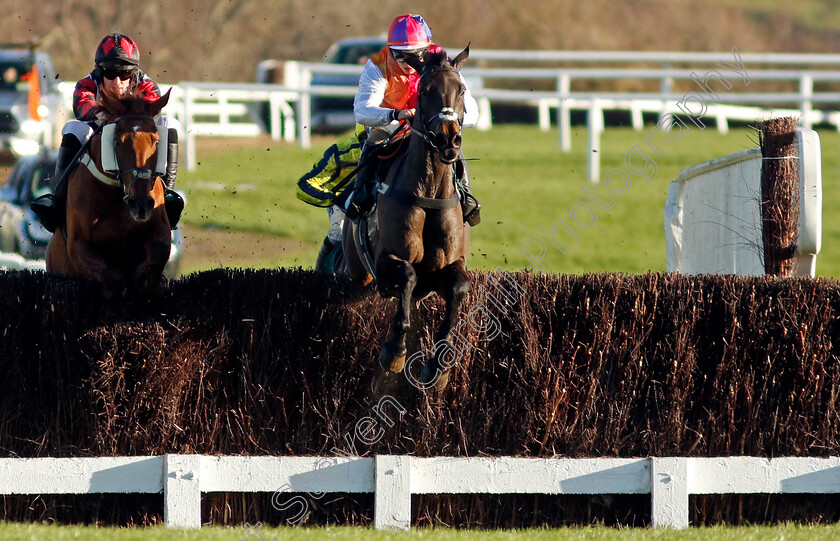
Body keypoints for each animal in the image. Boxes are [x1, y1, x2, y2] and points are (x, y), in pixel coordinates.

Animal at [45, 88, 173, 300]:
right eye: (117, 142)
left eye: (156, 141)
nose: (141, 204)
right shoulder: (77, 245)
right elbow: (112, 276)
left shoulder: (160, 226)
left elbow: (158, 253)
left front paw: (145, 280)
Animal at [342, 46, 472, 388]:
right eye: (424, 91)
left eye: (461, 89)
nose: (448, 139)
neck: (429, 192)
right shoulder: (386, 261)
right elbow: (409, 276)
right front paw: (395, 350)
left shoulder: (451, 264)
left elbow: (458, 288)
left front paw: (438, 366)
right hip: (357, 271)